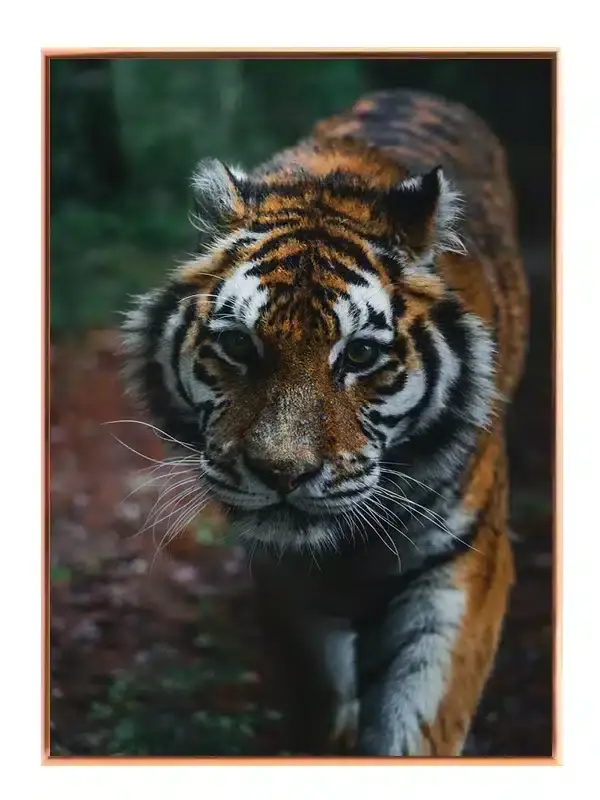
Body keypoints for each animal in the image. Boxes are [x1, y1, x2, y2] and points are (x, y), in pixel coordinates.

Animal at [121, 88, 529, 757]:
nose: (282, 473)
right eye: (238, 345)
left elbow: (419, 719)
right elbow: (323, 700)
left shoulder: (463, 561)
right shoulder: (286, 576)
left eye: (359, 355)